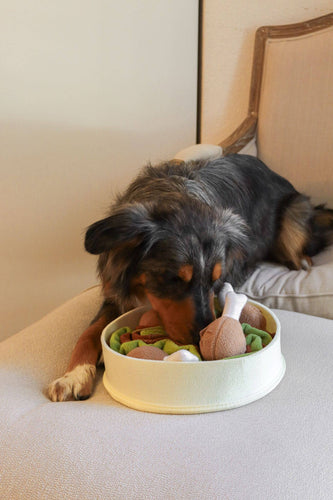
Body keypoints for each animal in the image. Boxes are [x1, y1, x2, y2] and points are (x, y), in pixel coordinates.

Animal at [47, 154, 332, 400]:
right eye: (174, 279)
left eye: (215, 280)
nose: (201, 338)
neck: (175, 191)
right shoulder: (114, 291)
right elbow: (88, 332)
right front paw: (74, 376)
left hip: (293, 218)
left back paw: (301, 261)